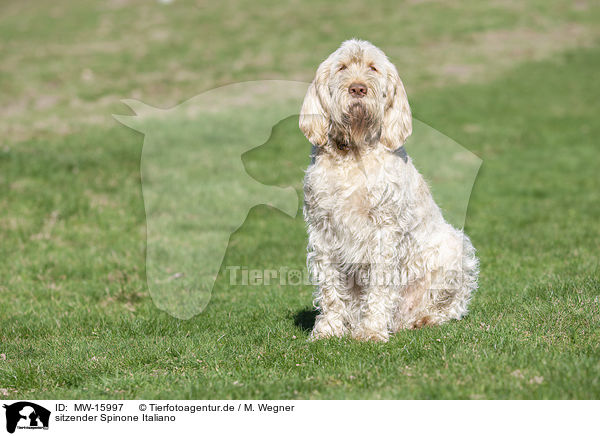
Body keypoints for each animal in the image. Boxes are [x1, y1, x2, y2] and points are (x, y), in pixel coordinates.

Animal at [298, 40, 478, 340]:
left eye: (373, 68)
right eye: (342, 67)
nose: (358, 88)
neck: (354, 154)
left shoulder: (384, 230)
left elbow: (380, 285)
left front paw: (371, 331)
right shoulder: (323, 229)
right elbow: (330, 286)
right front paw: (329, 329)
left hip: (456, 249)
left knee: (451, 306)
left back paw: (425, 319)